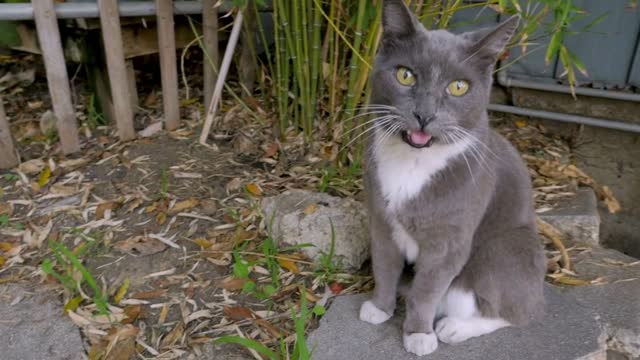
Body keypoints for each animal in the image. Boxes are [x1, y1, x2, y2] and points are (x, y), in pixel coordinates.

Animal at [360, 0, 544, 356]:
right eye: (405, 75)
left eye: (459, 87)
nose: (424, 114)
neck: (414, 163)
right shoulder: (381, 219)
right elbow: (384, 266)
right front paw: (379, 307)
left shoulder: (448, 240)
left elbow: (427, 291)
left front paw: (419, 335)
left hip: (505, 248)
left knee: (518, 311)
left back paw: (454, 328)